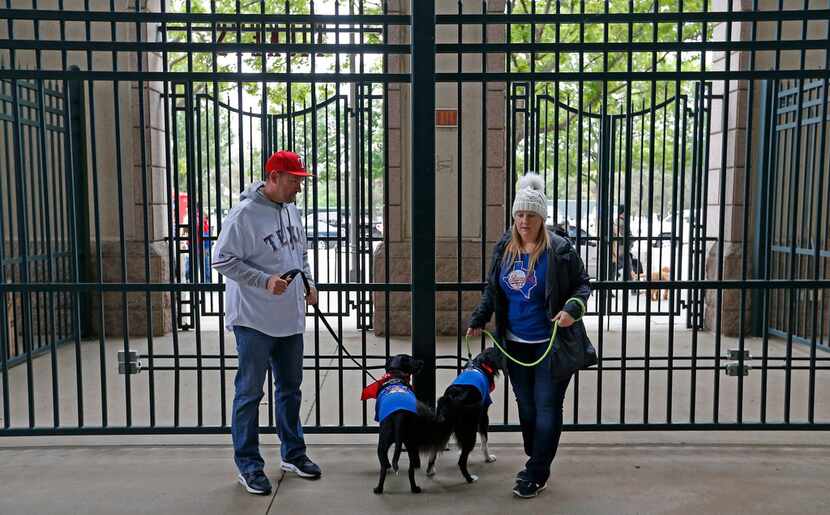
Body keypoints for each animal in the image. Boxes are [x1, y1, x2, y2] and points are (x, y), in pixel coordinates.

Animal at [364, 352, 442, 494]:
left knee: (384, 467)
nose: (422, 362)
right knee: (411, 470)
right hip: (410, 444)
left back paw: (379, 488)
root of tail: (399, 415)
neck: (396, 374)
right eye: (411, 359)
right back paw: (414, 488)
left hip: (383, 443)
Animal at [428, 346, 508, 484]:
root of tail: (451, 397)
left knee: (435, 448)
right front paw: (488, 458)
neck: (480, 364)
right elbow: (484, 441)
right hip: (469, 429)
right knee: (461, 461)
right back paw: (470, 478)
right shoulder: (483, 416)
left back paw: (430, 470)